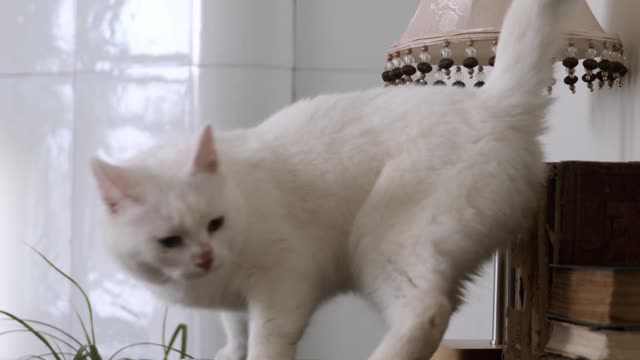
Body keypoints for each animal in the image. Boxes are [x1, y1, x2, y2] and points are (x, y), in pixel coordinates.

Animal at [91, 1, 576, 358]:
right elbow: (237, 333)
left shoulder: (285, 280)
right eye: (169, 241)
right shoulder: (237, 304)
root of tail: (494, 104)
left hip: (383, 241)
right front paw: (229, 352)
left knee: (427, 310)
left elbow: (266, 341)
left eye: (215, 223)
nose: (206, 256)